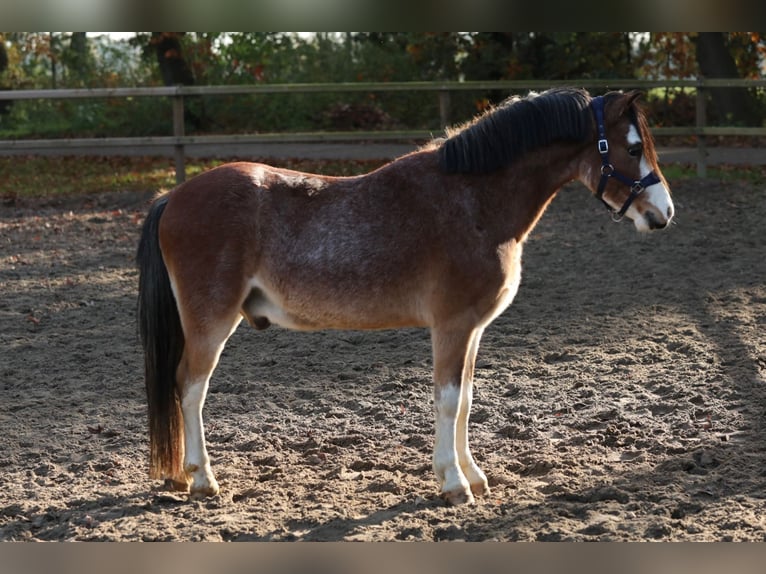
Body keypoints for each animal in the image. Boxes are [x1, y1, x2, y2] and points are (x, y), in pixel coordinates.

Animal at [138, 88, 672, 506]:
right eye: (630, 148)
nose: (663, 213)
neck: (474, 201)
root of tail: (173, 196)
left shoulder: (471, 329)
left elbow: (467, 398)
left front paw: (473, 475)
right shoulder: (451, 325)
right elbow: (448, 401)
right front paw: (454, 484)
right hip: (211, 321)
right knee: (190, 386)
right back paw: (203, 480)